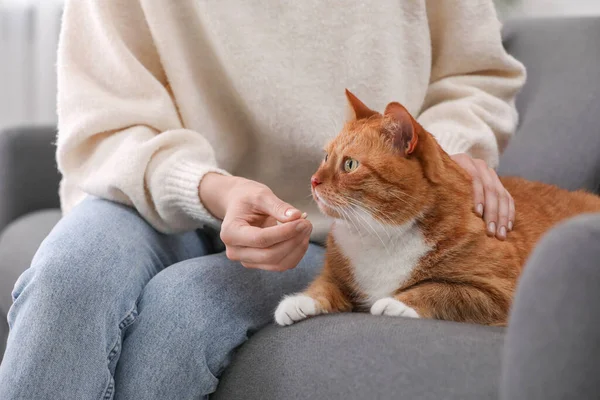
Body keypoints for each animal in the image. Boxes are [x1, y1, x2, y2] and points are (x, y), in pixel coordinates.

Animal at [274, 89, 596, 326]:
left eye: (350, 164)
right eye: (326, 156)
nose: (314, 180)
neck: (379, 233)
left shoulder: (500, 292)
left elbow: (443, 290)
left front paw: (395, 303)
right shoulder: (337, 275)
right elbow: (324, 285)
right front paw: (297, 301)